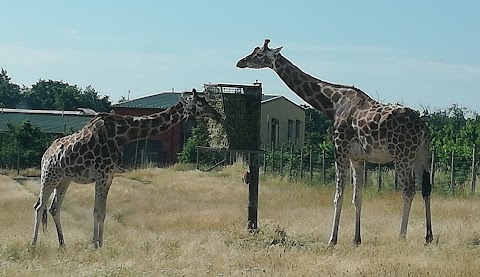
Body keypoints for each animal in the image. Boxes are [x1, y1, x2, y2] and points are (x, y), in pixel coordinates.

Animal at [31, 89, 223, 247]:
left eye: (206, 100)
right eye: (199, 103)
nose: (217, 115)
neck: (122, 135)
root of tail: (45, 155)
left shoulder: (110, 175)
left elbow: (103, 211)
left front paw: (101, 244)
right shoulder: (102, 174)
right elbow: (96, 210)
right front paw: (95, 245)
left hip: (64, 180)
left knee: (54, 208)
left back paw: (62, 244)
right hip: (49, 175)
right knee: (39, 206)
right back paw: (33, 245)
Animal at [238, 38, 434, 244]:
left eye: (259, 54)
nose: (240, 62)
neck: (332, 104)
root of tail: (423, 128)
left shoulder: (339, 149)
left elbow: (338, 195)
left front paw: (332, 239)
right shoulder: (357, 158)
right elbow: (357, 197)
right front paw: (356, 239)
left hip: (401, 155)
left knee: (408, 189)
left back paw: (401, 236)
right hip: (420, 154)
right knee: (426, 188)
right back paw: (428, 236)